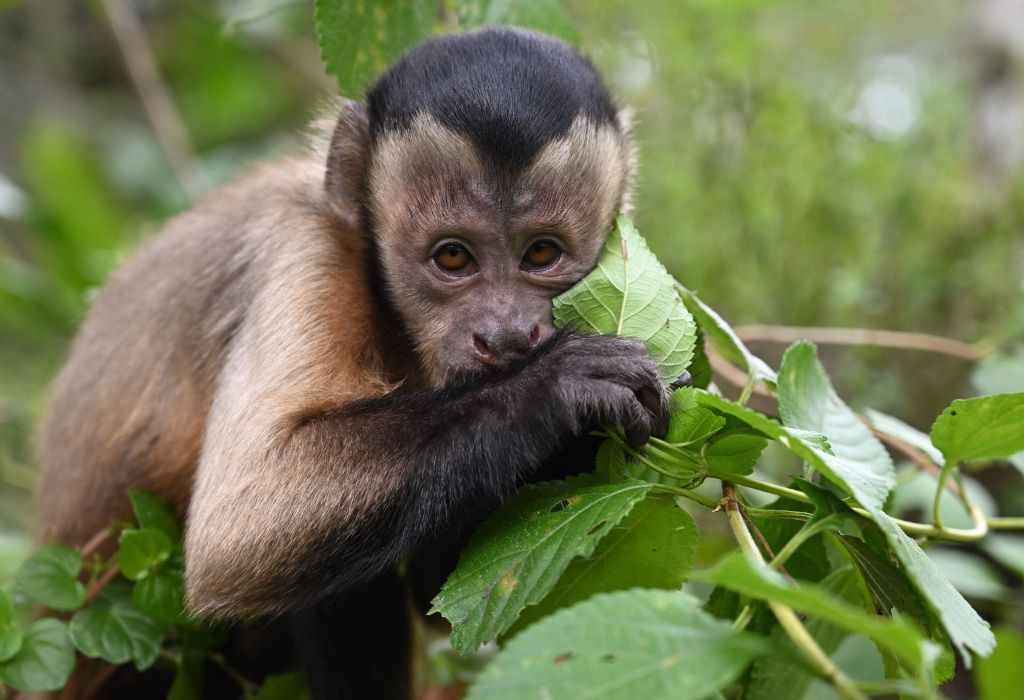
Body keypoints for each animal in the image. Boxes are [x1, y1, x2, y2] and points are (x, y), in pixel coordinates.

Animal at [36, 25, 667, 695]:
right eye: (453, 257)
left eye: (542, 254)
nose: (505, 335)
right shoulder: (305, 250)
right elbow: (237, 530)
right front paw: (553, 387)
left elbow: (443, 592)